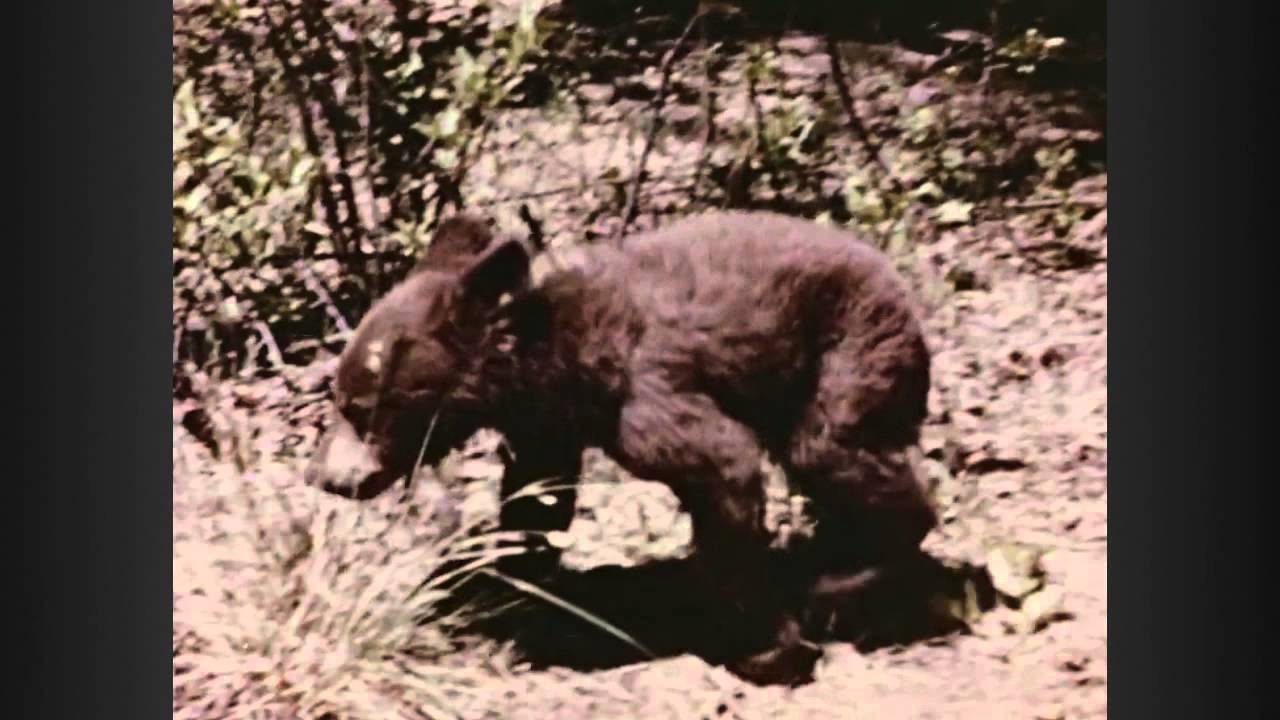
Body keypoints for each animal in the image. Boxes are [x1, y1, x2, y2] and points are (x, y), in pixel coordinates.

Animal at [304, 210, 938, 686]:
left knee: (835, 453)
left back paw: (843, 582)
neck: (560, 355)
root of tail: (895, 277)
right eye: (342, 397)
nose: (327, 478)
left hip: (848, 348)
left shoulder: (643, 394)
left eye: (359, 407)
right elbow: (537, 499)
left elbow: (722, 466)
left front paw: (765, 651)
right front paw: (504, 597)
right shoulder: (545, 423)